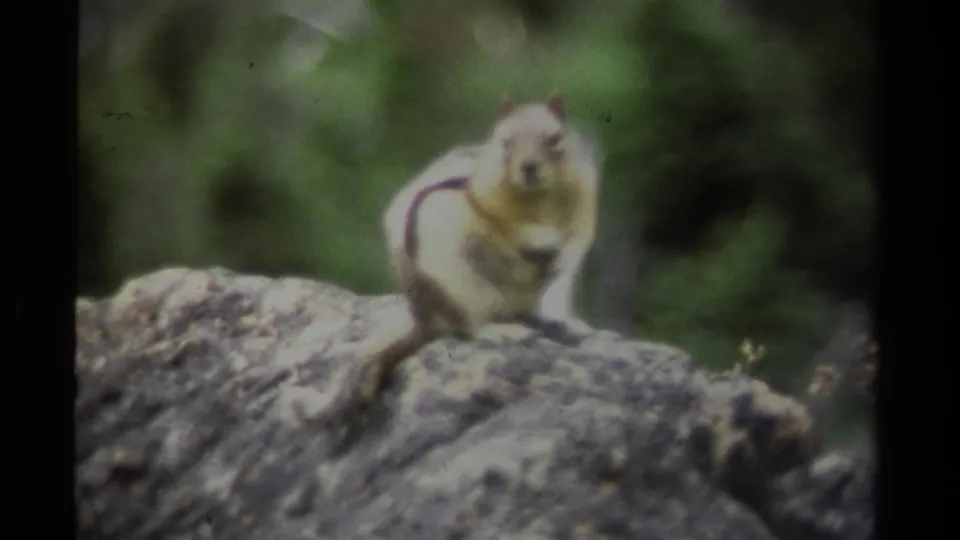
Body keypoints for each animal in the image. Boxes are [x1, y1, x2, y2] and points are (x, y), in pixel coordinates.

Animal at [327, 92, 601, 435]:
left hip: (550, 291)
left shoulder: (584, 201)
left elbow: (577, 238)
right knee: (467, 327)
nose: (529, 167)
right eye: (505, 141)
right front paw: (537, 238)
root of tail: (422, 318)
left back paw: (565, 322)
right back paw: (501, 331)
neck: (538, 200)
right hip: (459, 289)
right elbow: (503, 223)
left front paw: (559, 250)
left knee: (544, 301)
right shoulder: (484, 199)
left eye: (556, 138)